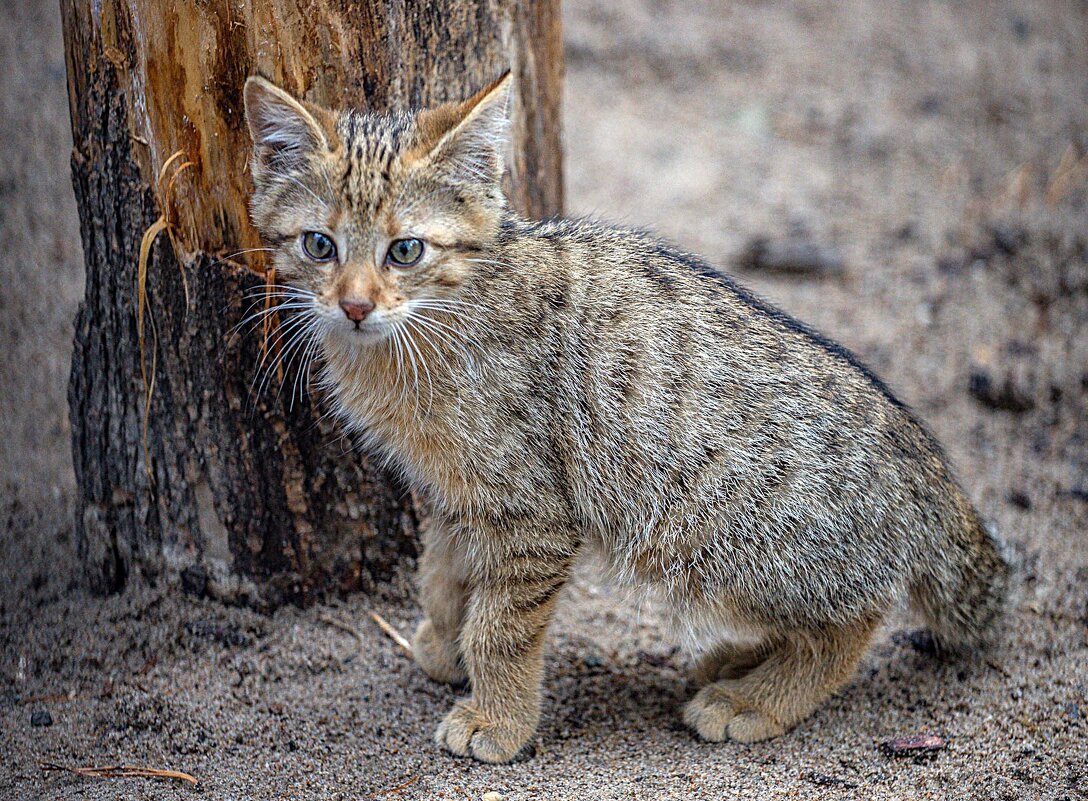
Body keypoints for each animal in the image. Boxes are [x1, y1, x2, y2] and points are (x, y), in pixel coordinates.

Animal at [244, 73, 1009, 761]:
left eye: (405, 250)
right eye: (319, 245)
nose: (354, 305)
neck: (427, 328)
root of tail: (926, 461)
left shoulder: (530, 508)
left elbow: (502, 627)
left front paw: (499, 718)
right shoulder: (456, 492)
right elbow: (442, 574)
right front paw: (443, 643)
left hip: (725, 541)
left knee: (851, 624)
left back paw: (756, 699)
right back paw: (737, 661)